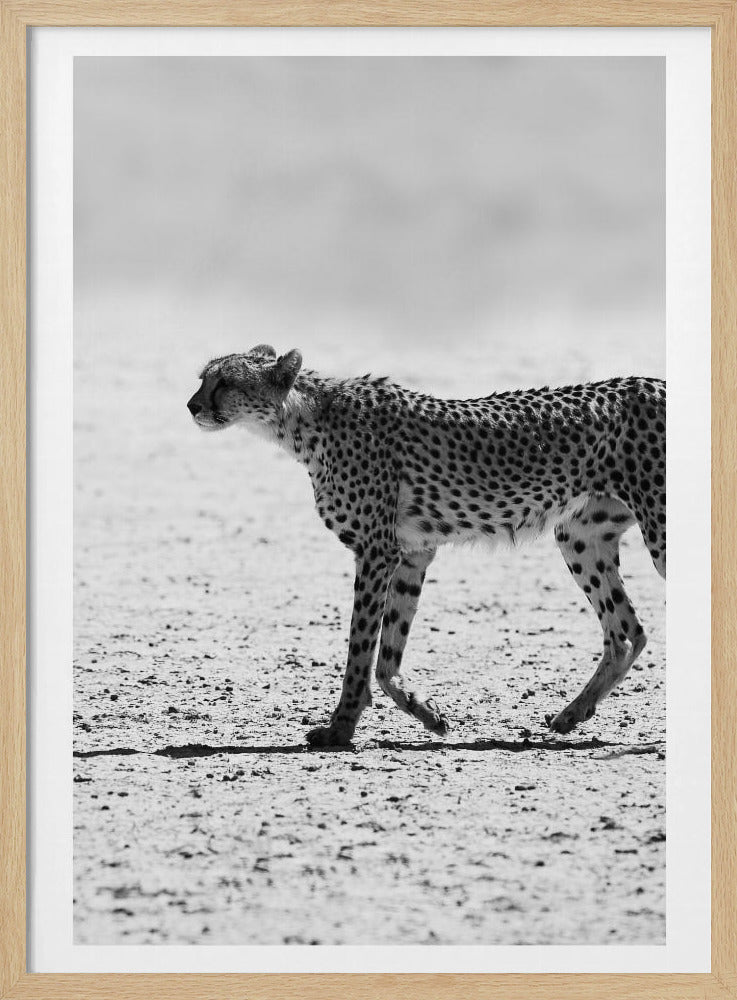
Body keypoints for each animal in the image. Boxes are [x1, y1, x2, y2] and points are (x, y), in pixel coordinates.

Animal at [187, 344, 665, 748]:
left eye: (225, 382)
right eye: (203, 378)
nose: (192, 405)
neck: (304, 419)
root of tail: (654, 381)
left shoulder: (376, 550)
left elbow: (360, 649)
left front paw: (340, 729)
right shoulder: (412, 552)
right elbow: (387, 656)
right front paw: (428, 715)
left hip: (657, 531)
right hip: (579, 536)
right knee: (627, 632)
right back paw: (572, 713)